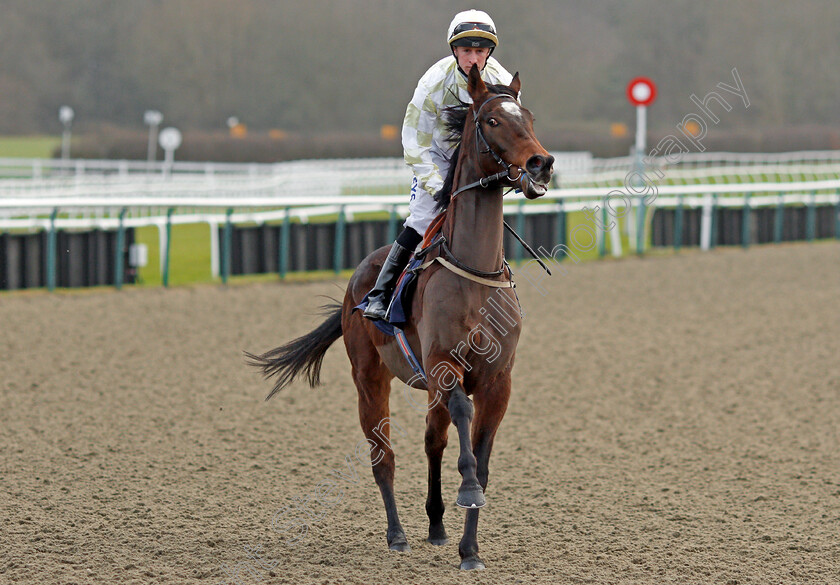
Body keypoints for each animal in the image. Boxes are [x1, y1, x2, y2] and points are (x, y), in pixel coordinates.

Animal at [246, 65, 556, 572]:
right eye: (492, 120)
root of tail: (356, 281)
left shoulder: (498, 379)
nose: (540, 164)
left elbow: (481, 456)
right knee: (383, 457)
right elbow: (464, 426)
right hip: (370, 378)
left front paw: (470, 548)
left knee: (432, 440)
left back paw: (436, 525)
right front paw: (466, 491)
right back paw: (397, 534)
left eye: (528, 117)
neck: (475, 272)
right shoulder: (444, 365)